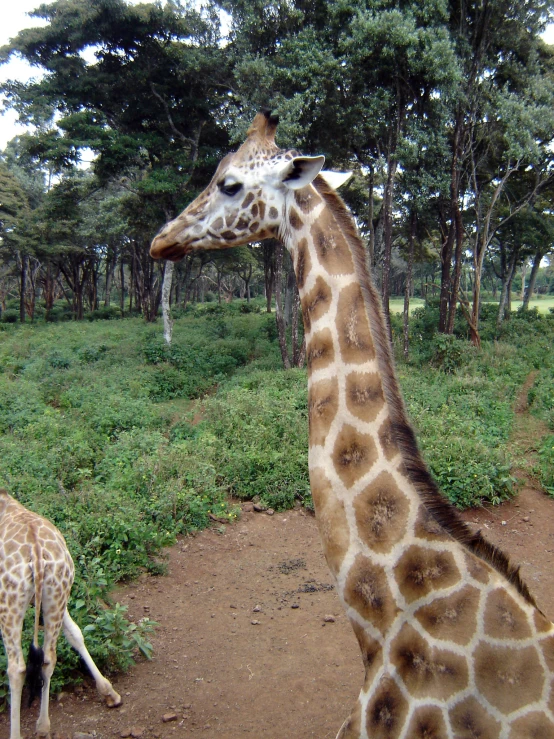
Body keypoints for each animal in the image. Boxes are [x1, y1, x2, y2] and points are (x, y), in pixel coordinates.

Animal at [0, 492, 121, 739]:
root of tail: (36, 554)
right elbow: (75, 634)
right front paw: (107, 691)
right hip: (57, 591)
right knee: (49, 656)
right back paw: (43, 725)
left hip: (10, 603)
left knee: (16, 668)